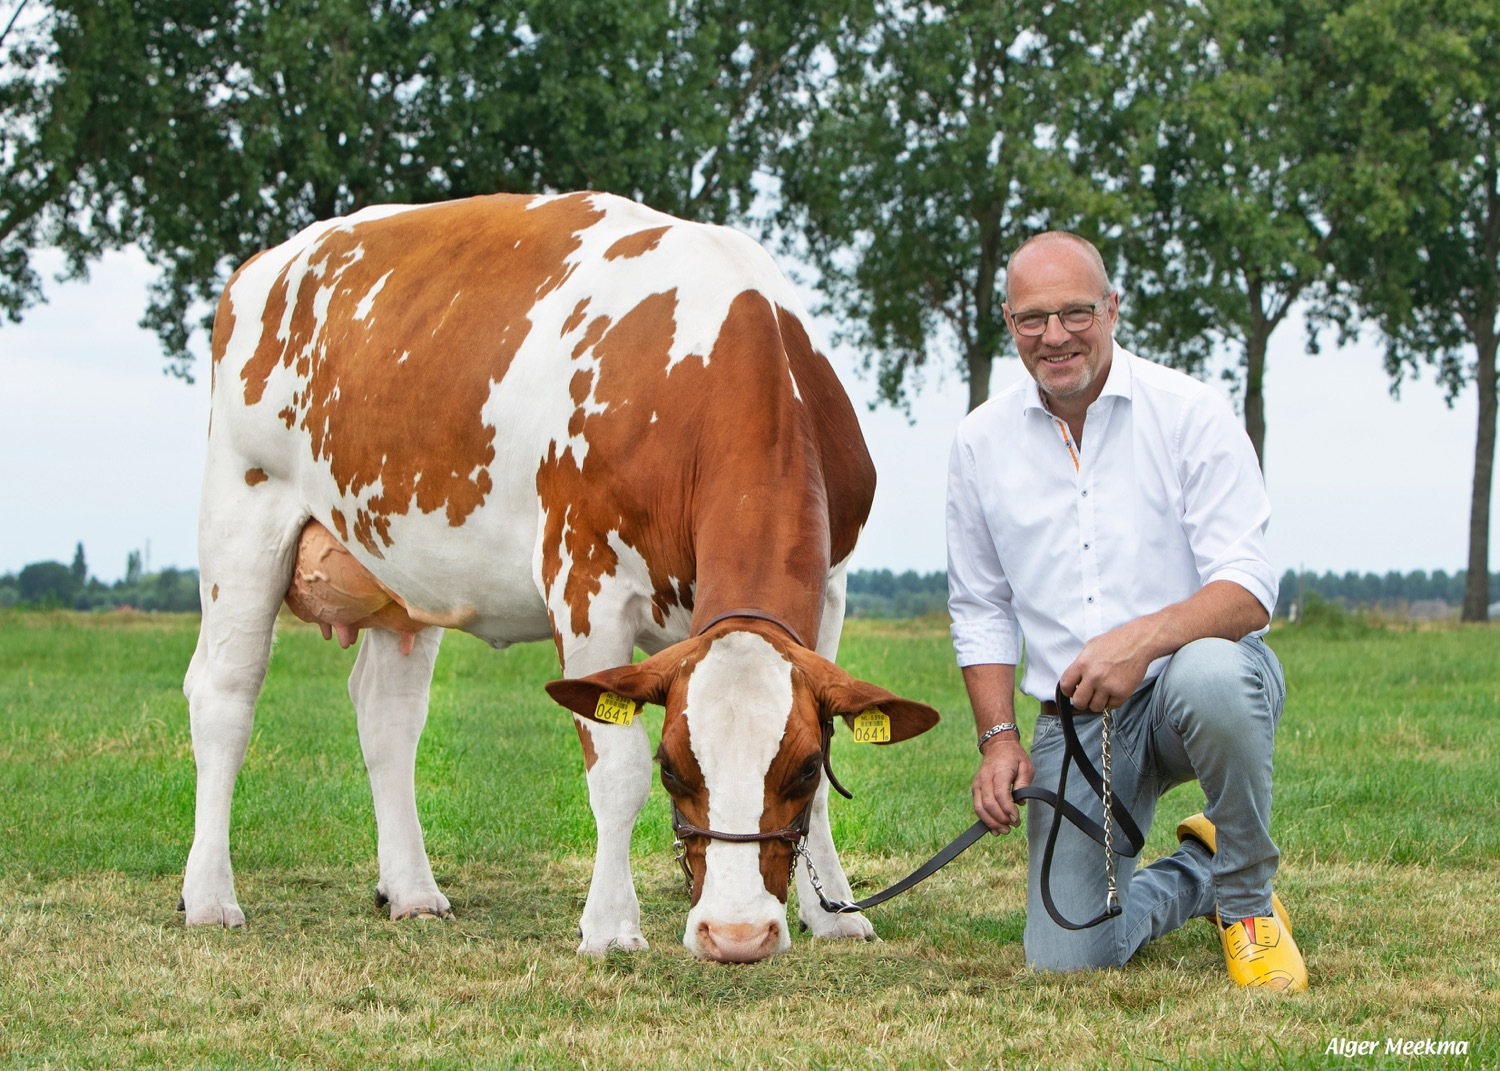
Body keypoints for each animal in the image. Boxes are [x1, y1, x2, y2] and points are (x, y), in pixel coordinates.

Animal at [178, 189, 936, 960]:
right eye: (672, 765)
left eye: (804, 764)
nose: (737, 933)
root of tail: (268, 261)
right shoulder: (586, 582)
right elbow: (616, 771)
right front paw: (611, 926)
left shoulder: (831, 592)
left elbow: (825, 777)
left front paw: (834, 912)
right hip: (242, 520)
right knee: (224, 696)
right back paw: (209, 897)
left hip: (403, 573)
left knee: (388, 715)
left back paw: (412, 891)